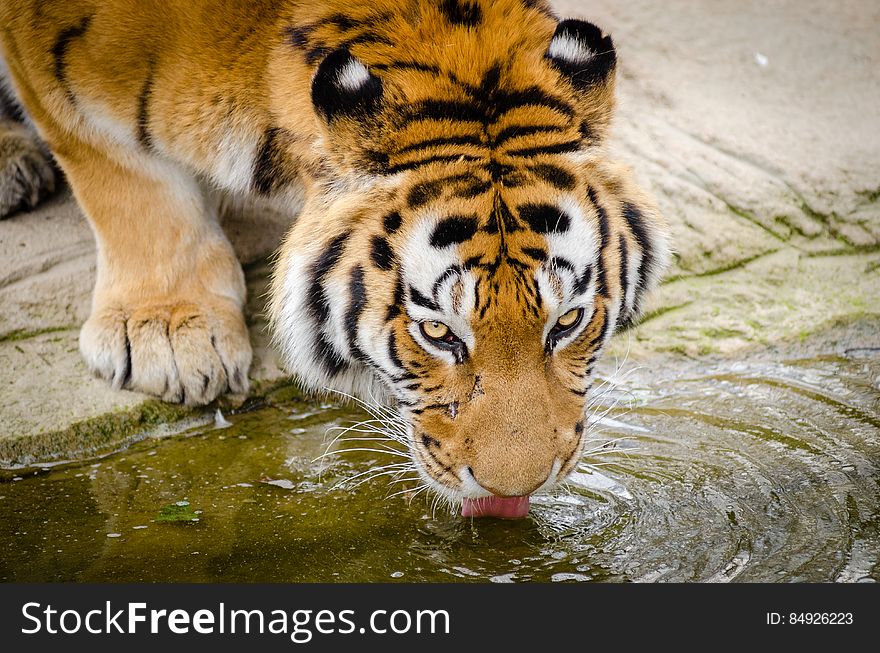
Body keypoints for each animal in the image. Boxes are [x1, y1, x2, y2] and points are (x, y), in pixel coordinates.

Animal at [0, 0, 672, 516]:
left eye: (568, 321)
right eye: (437, 332)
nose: (515, 490)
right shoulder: (59, 76)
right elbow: (127, 178)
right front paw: (166, 334)